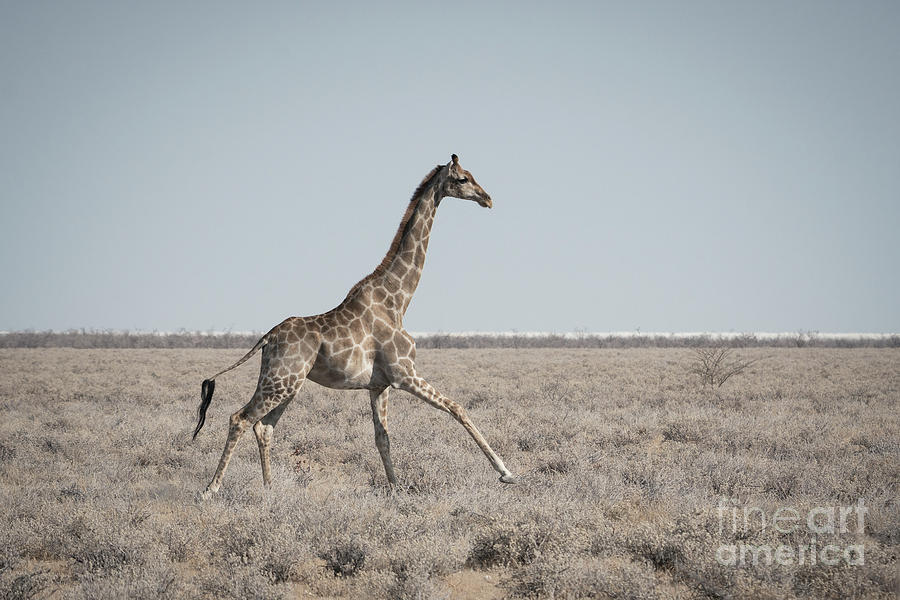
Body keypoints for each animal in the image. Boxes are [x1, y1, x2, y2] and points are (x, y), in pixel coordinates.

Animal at [193, 155, 516, 496]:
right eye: (463, 178)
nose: (487, 198)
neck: (398, 300)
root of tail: (267, 338)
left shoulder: (379, 385)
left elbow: (382, 437)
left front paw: (396, 488)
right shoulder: (405, 374)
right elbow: (457, 407)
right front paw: (506, 472)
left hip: (285, 382)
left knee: (263, 426)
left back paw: (270, 489)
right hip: (281, 381)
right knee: (239, 418)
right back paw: (211, 489)